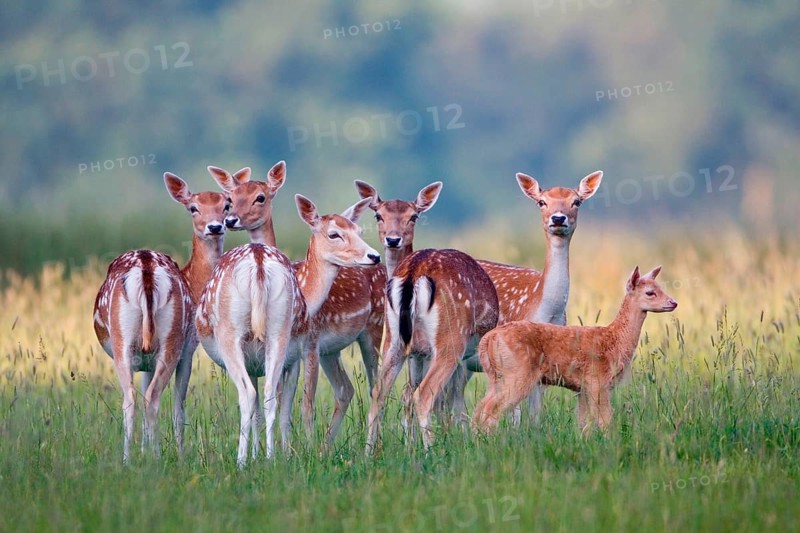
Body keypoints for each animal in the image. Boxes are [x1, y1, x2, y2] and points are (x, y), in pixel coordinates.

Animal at [93, 171, 233, 462]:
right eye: (193, 207)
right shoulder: (188, 348)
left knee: (135, 398)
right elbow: (180, 406)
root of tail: (146, 269)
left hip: (129, 340)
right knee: (150, 398)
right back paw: (153, 458)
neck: (194, 283)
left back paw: (132, 459)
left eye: (226, 205)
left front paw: (147, 450)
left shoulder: (154, 356)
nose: (215, 226)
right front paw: (178, 454)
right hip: (168, 340)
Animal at [194, 194, 380, 466]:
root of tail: (258, 263)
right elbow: (271, 409)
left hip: (233, 334)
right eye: (334, 234)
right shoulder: (275, 358)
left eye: (359, 231)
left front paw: (278, 453)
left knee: (248, 395)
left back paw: (242, 461)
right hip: (284, 334)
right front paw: (269, 453)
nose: (373, 255)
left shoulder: (299, 353)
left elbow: (293, 406)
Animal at [366, 249, 499, 454]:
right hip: (451, 340)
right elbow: (456, 398)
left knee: (379, 392)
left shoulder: (423, 355)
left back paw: (369, 454)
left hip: (394, 342)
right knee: (423, 394)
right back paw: (432, 452)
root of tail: (414, 272)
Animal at [473, 266, 677, 433]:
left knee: (479, 408)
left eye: (662, 288)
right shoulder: (597, 381)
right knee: (491, 410)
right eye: (650, 292)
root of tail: (488, 339)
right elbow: (605, 421)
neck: (615, 340)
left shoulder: (583, 388)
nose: (673, 302)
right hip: (517, 373)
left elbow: (584, 423)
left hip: (497, 376)